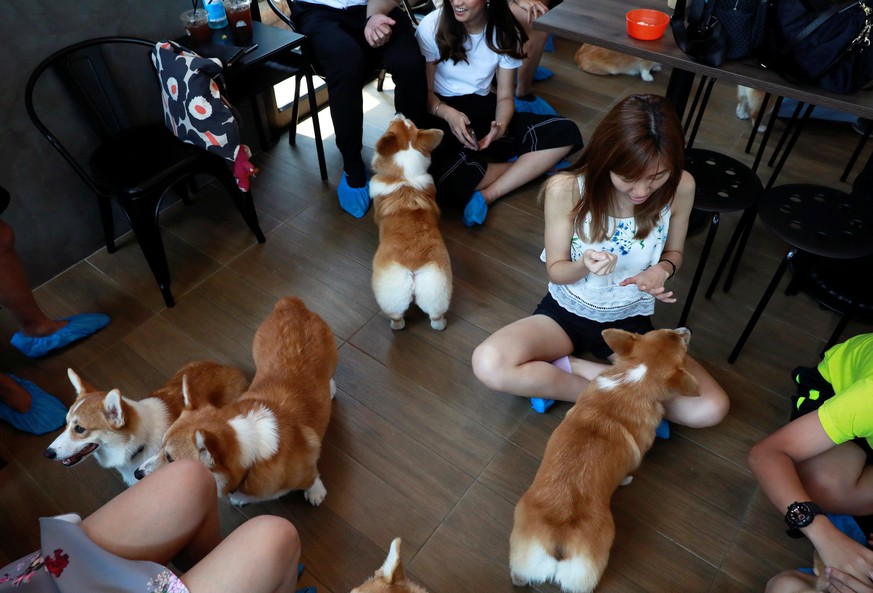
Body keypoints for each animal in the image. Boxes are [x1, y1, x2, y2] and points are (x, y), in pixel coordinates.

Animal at [136, 296, 338, 504]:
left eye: (170, 458)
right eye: (160, 446)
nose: (137, 473)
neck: (252, 460)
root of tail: (290, 305)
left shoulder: (305, 470)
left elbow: (311, 479)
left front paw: (315, 492)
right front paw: (242, 498)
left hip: (331, 359)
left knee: (330, 375)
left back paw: (330, 388)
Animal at [368, 113, 450, 330]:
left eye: (391, 123)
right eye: (410, 123)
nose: (399, 113)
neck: (404, 176)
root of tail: (413, 266)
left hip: (389, 292)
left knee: (397, 317)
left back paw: (395, 326)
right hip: (437, 287)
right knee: (435, 317)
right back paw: (441, 324)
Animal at [508, 328, 700, 592]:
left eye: (666, 331)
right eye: (683, 345)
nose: (686, 329)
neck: (632, 384)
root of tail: (559, 539)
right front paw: (627, 480)